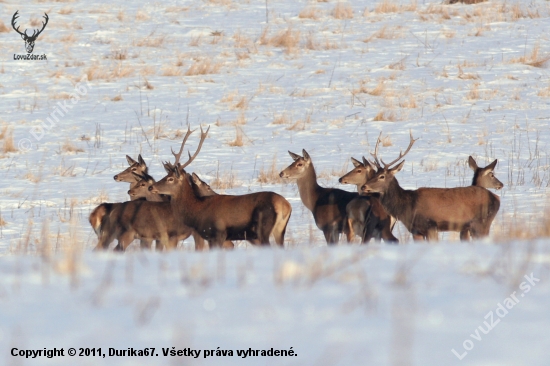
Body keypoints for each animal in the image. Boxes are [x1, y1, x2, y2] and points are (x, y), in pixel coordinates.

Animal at [147, 126, 294, 249]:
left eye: (170, 179)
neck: (197, 213)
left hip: (263, 229)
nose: (151, 187)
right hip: (279, 230)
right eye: (166, 175)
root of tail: (285, 205)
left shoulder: (217, 234)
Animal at [360, 133, 502, 242]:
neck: (407, 207)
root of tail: (496, 198)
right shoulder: (416, 231)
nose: (363, 186)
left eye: (382, 176)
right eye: (374, 173)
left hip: (482, 222)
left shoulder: (431, 226)